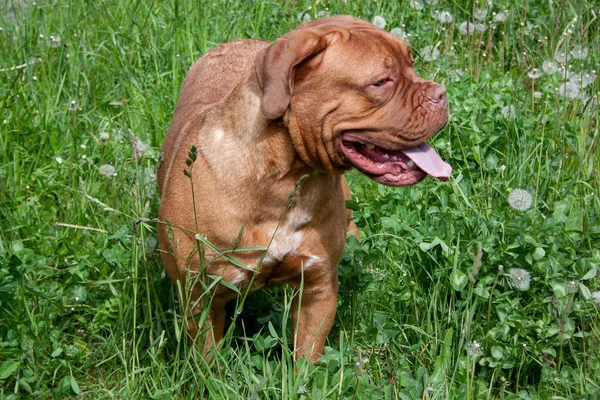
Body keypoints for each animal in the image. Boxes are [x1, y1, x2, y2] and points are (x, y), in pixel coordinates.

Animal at [157, 15, 452, 360]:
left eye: (412, 64)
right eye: (381, 82)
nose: (442, 93)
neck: (284, 183)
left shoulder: (317, 289)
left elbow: (307, 356)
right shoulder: (200, 298)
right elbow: (208, 359)